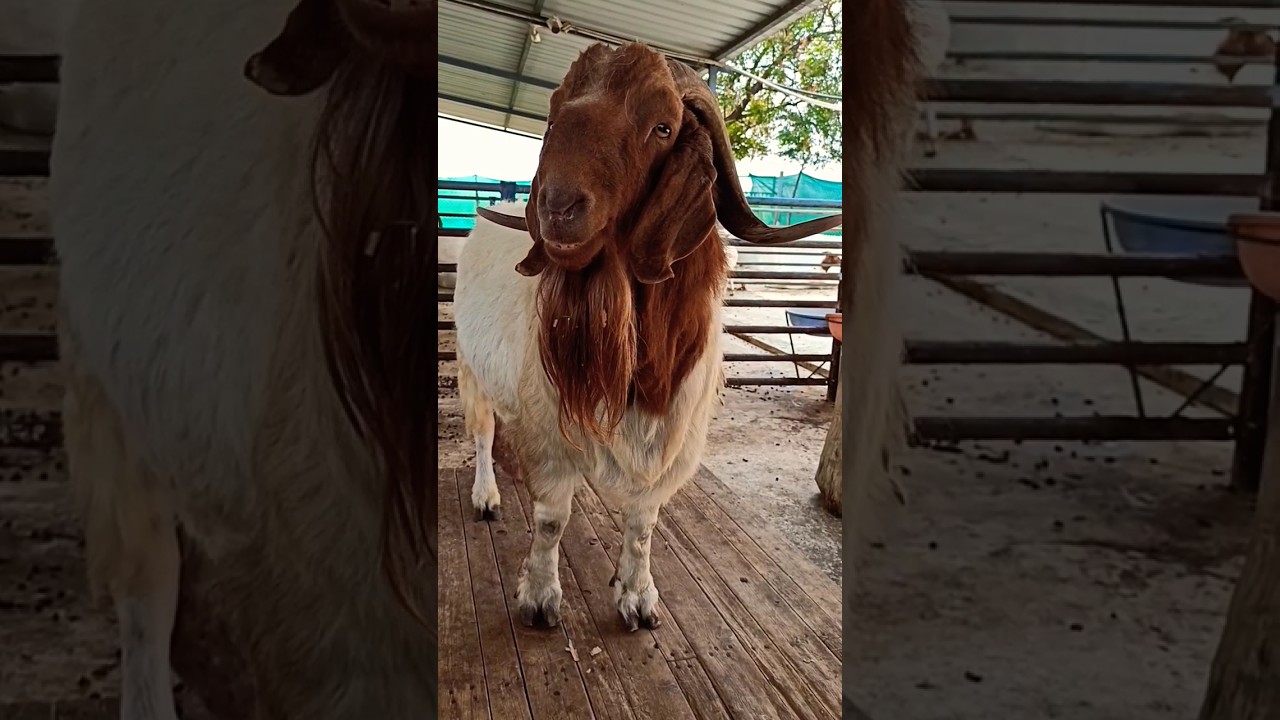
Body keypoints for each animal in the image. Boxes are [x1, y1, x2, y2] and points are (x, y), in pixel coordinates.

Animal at [454, 42, 842, 630]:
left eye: (663, 126)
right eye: (555, 116)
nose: (557, 208)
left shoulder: (673, 439)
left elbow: (642, 524)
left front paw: (637, 598)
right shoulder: (550, 435)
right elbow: (552, 518)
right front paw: (540, 599)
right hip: (470, 366)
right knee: (481, 432)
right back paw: (486, 496)